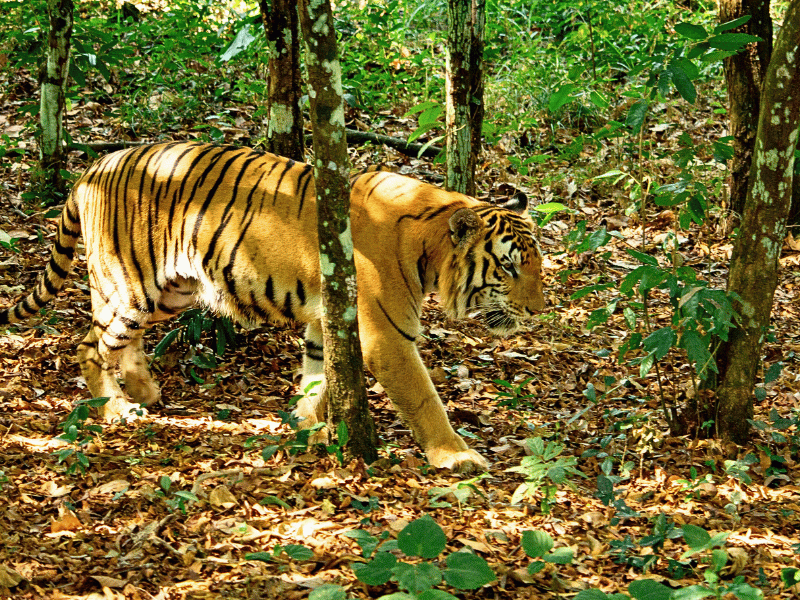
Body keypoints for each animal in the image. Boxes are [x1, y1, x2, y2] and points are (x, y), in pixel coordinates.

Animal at [0, 141, 545, 473]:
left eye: (538, 264)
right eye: (509, 268)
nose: (538, 311)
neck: (429, 245)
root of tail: (93, 167)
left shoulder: (328, 323)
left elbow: (318, 379)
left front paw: (305, 427)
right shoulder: (386, 336)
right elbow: (423, 398)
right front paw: (457, 458)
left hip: (170, 290)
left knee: (120, 341)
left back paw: (143, 389)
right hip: (127, 285)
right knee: (88, 344)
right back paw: (114, 407)